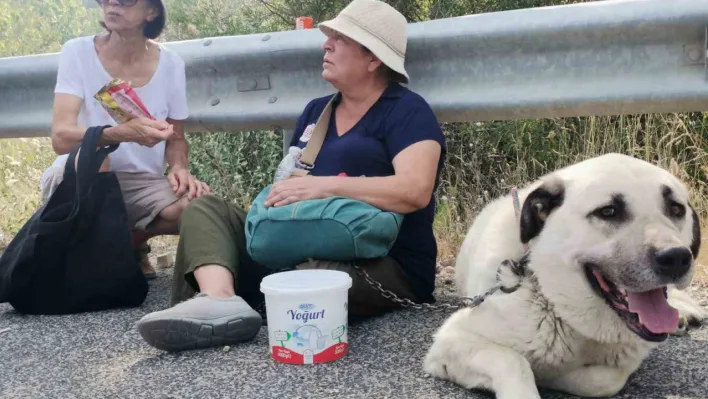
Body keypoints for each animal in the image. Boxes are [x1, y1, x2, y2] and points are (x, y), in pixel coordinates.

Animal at [424, 154, 704, 399]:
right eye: (608, 211)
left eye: (676, 209)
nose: (676, 258)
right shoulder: (451, 340)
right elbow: (512, 360)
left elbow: (606, 380)